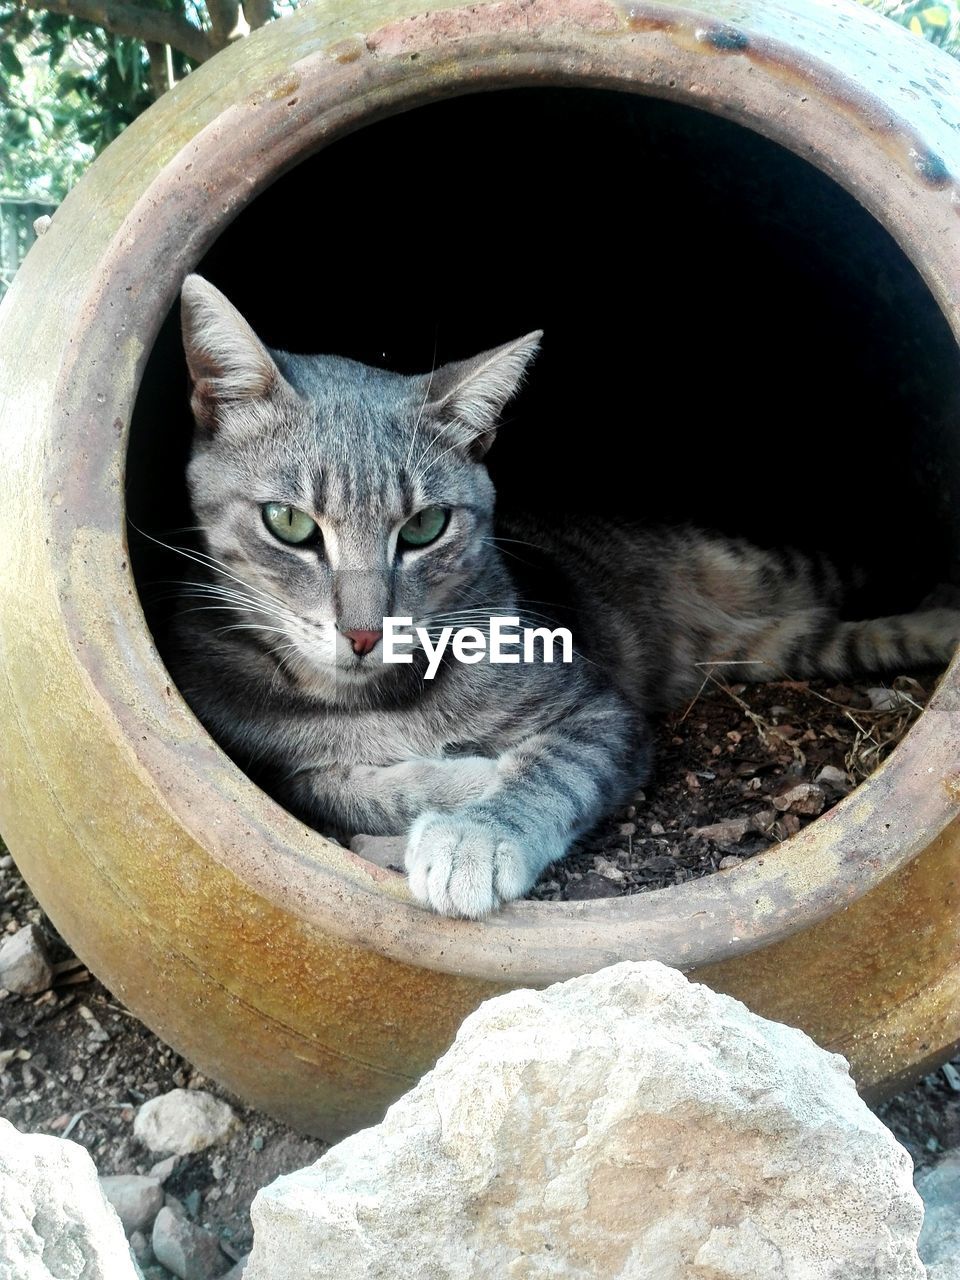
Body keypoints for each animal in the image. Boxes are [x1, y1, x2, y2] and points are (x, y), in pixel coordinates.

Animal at [167, 275, 960, 921]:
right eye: (289, 523)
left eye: (423, 527)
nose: (365, 633)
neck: (379, 698)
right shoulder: (263, 762)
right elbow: (339, 786)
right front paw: (458, 780)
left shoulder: (600, 713)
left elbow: (549, 770)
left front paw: (477, 832)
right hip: (778, 647)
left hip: (774, 571)